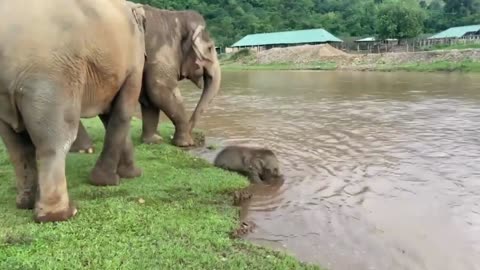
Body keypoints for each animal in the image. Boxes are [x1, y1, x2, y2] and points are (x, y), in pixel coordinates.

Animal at [0, 0, 147, 223]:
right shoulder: (134, 59)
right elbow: (122, 112)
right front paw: (110, 180)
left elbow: (110, 113)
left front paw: (130, 174)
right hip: (52, 77)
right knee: (56, 140)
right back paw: (61, 214)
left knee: (16, 145)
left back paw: (26, 203)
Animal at [69, 4, 221, 154]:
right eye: (210, 48)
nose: (194, 134)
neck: (174, 16)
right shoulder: (159, 53)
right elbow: (160, 90)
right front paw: (185, 144)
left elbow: (149, 98)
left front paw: (153, 141)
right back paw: (85, 149)